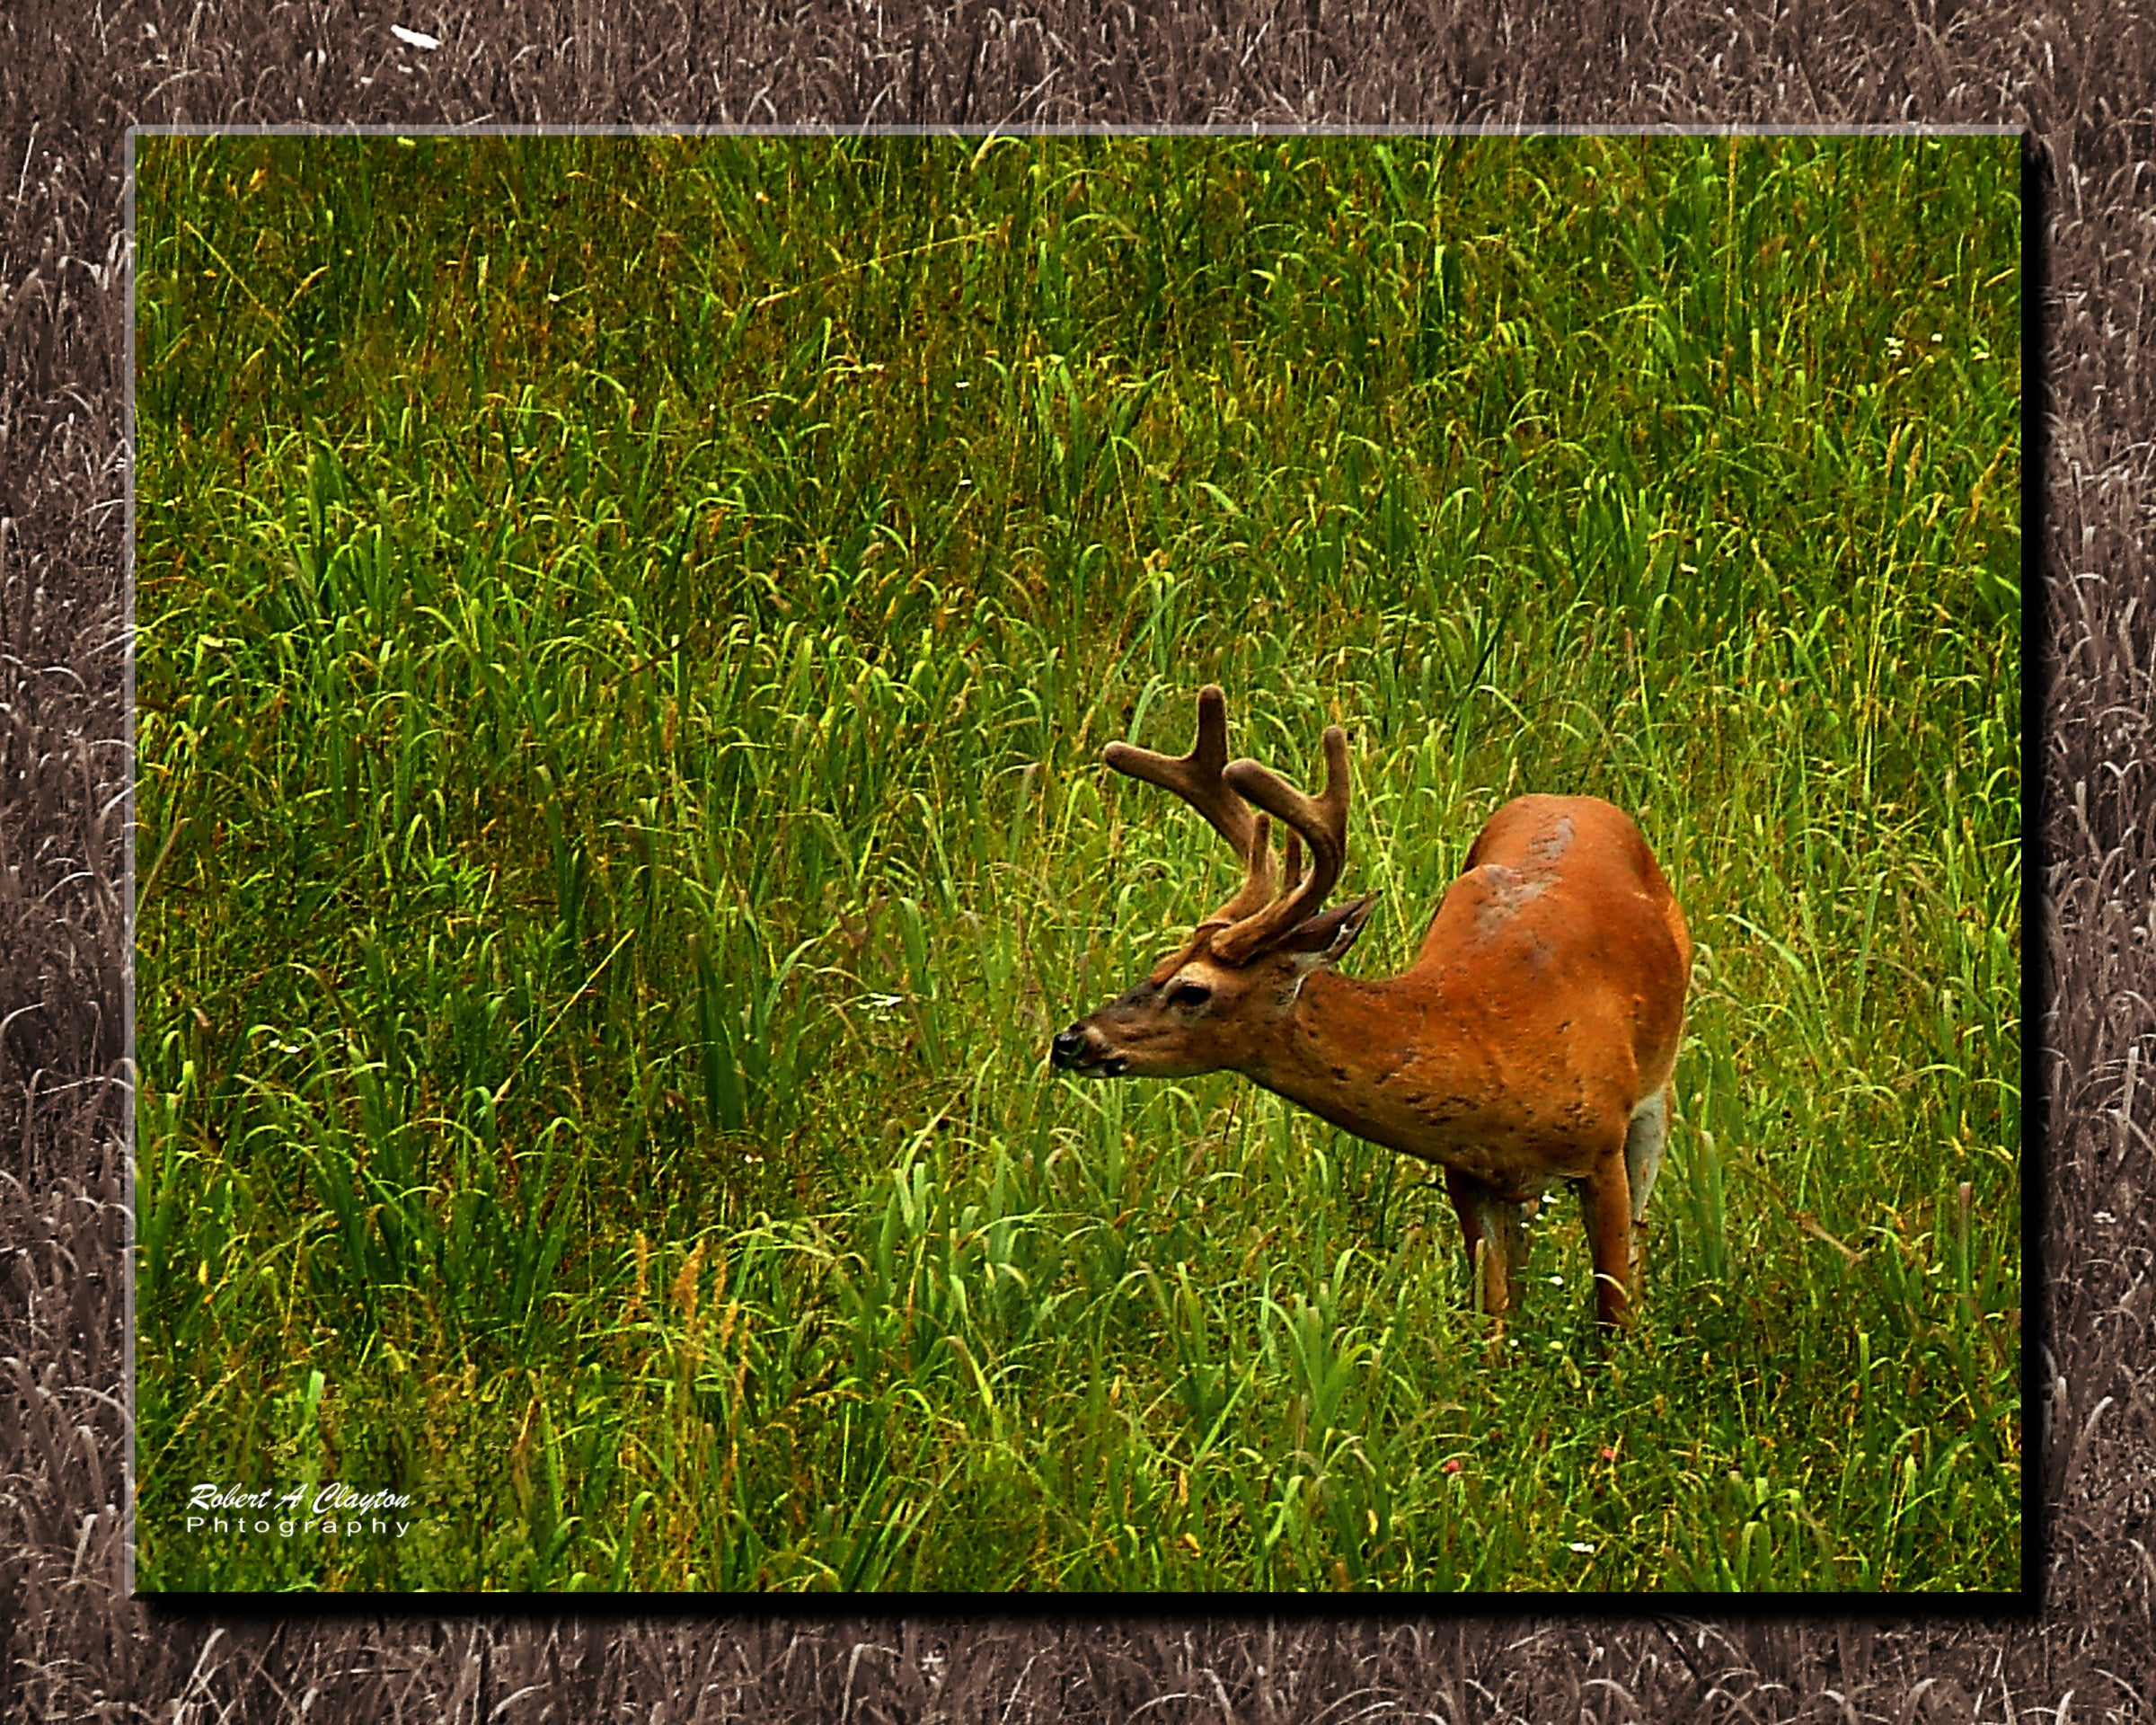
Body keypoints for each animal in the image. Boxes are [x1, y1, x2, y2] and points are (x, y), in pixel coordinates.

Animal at [1050, 686, 1692, 1333]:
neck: (1494, 1043)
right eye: (1158, 961)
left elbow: (1613, 1309)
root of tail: (1574, 798)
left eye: (1191, 989)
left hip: (1656, 1095)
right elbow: (1491, 1315)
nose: (1072, 1040)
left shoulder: (1603, 1146)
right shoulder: (1466, 1169)